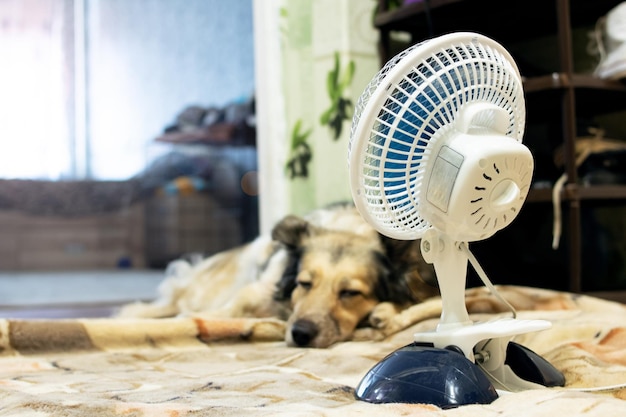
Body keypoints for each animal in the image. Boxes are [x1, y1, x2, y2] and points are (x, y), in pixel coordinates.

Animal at [118, 203, 438, 346]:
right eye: (304, 283)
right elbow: (235, 306)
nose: (301, 334)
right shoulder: (257, 290)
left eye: (350, 293)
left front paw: (384, 312)